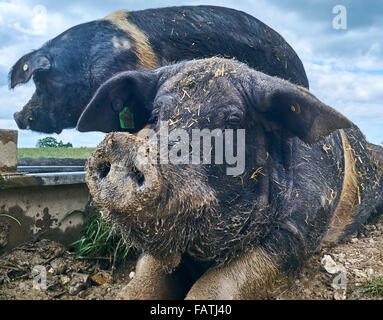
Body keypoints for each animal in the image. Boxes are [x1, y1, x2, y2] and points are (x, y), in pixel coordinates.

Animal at [79, 57, 382, 300]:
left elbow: (215, 285)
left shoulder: (298, 232)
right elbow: (142, 281)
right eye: (155, 115)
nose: (123, 146)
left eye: (233, 120)